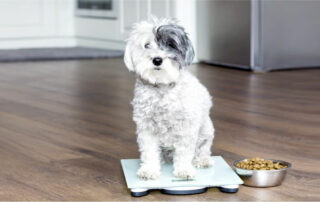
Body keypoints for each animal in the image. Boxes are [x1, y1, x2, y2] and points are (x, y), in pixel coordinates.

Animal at [124, 18, 215, 180]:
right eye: (146, 45)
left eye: (170, 44)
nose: (157, 59)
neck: (162, 86)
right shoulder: (146, 127)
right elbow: (149, 151)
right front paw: (149, 169)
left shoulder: (186, 126)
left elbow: (184, 151)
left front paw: (184, 170)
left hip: (206, 130)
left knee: (203, 148)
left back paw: (202, 159)